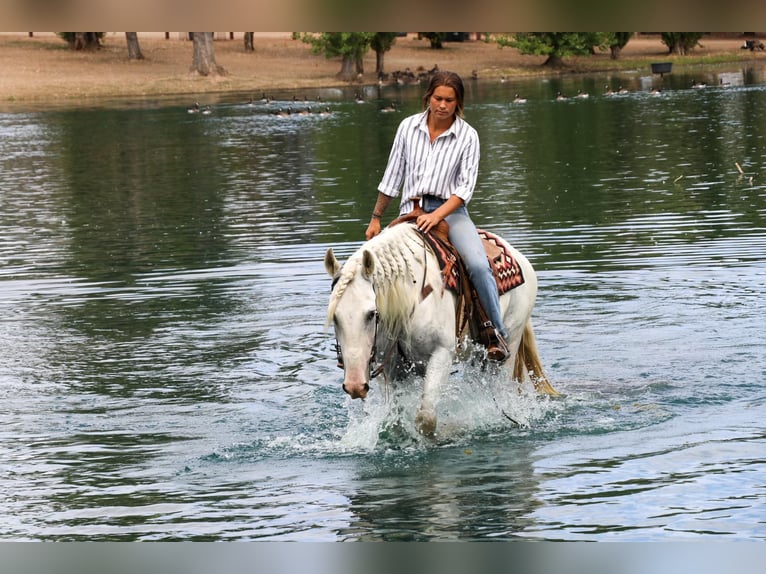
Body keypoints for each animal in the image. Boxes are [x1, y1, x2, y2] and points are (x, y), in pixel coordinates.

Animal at [324, 222, 558, 437]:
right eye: (335, 317)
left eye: (372, 313)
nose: (355, 385)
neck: (412, 296)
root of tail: (519, 257)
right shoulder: (393, 368)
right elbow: (396, 419)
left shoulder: (442, 353)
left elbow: (426, 419)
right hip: (477, 358)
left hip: (509, 344)